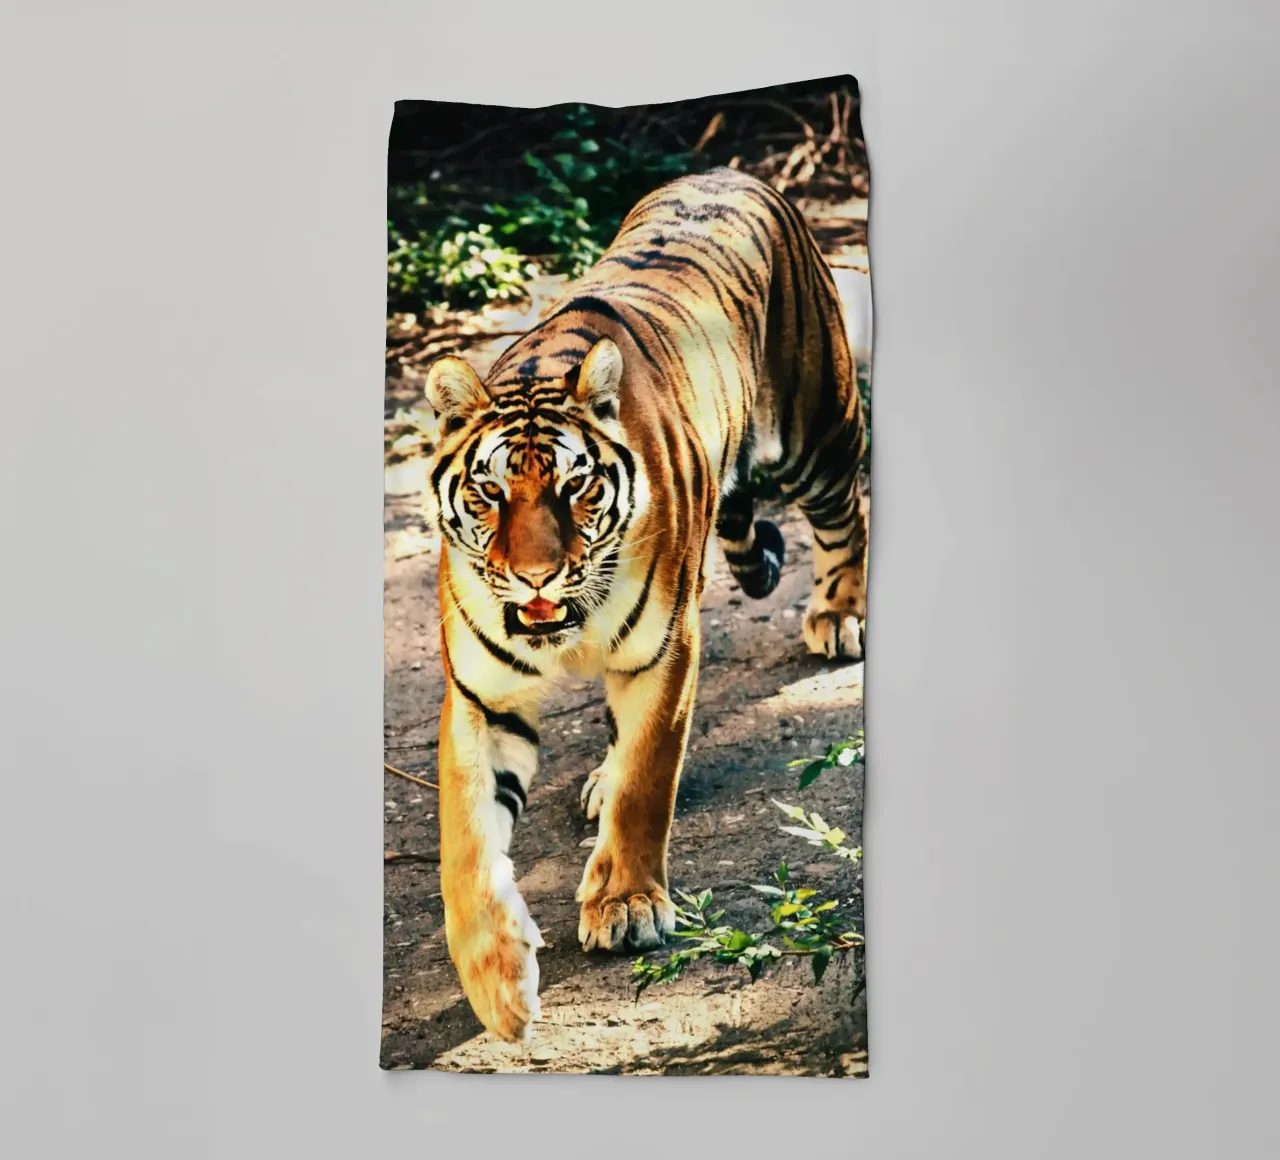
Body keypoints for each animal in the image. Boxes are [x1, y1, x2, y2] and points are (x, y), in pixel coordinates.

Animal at [421, 167, 868, 1042]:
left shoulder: (665, 650)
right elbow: (467, 838)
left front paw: (626, 904)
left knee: (850, 514)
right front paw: (495, 981)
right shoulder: (481, 696)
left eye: (576, 487)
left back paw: (841, 614)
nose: (536, 577)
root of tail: (731, 170)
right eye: (490, 493)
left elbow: (646, 780)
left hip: (820, 431)